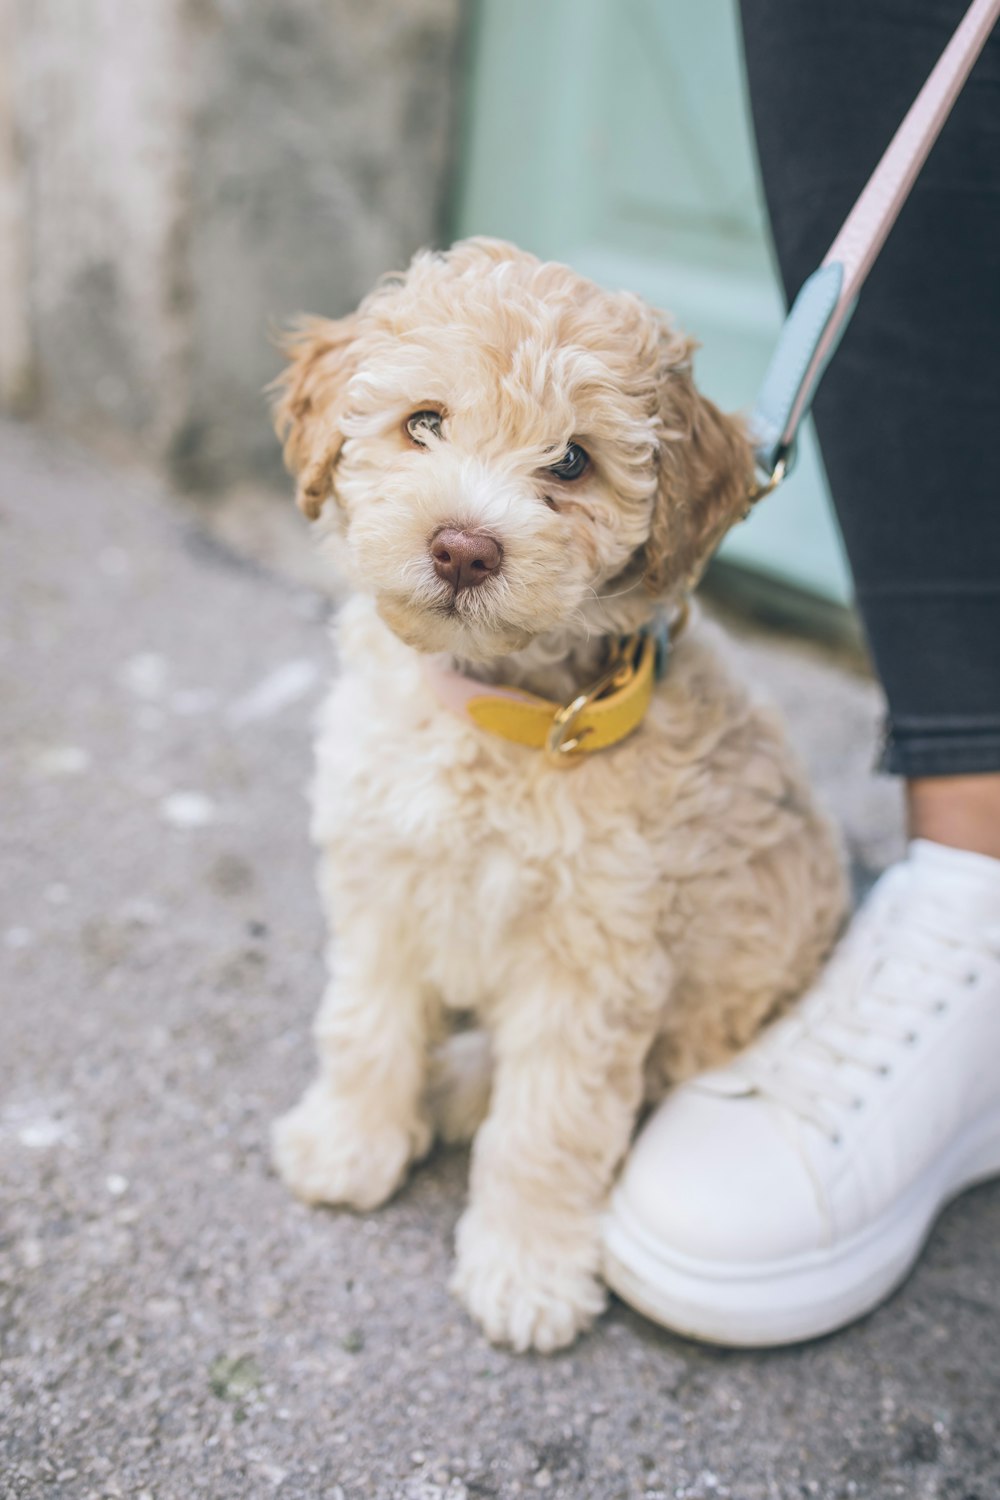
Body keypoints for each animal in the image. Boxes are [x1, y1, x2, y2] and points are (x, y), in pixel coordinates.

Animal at [271, 240, 845, 1356]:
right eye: (424, 423)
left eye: (572, 462)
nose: (463, 548)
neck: (504, 711)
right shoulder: (380, 880)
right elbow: (364, 1023)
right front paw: (349, 1143)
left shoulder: (595, 962)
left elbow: (550, 1125)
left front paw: (524, 1271)